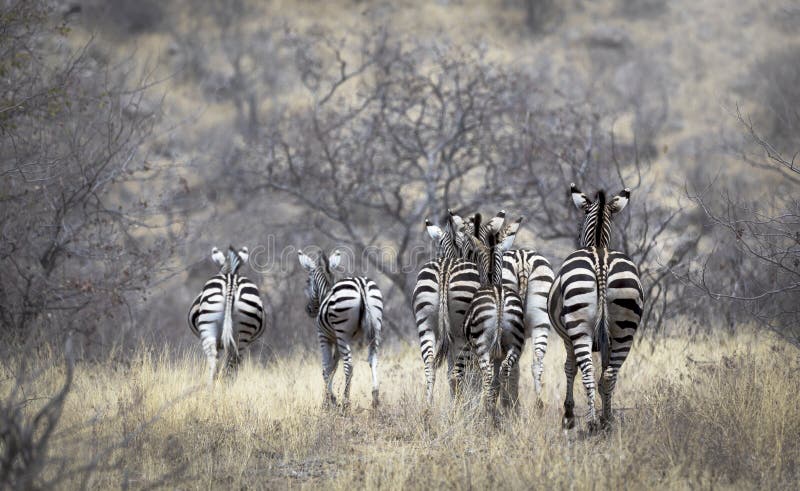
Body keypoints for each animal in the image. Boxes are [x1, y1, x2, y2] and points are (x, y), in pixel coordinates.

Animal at [188, 248, 264, 386]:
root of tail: (230, 282)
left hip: (211, 329)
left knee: (219, 363)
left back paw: (215, 388)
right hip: (242, 333)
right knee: (228, 363)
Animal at [296, 250, 384, 408]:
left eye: (307, 281)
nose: (309, 310)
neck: (325, 293)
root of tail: (361, 285)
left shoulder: (324, 337)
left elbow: (326, 368)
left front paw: (329, 400)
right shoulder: (337, 340)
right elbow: (333, 366)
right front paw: (330, 398)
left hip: (343, 333)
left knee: (349, 366)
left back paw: (346, 402)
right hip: (375, 329)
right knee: (373, 359)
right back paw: (375, 399)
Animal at [416, 214, 478, 404]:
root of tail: (445, 269)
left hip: (425, 323)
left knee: (430, 366)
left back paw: (428, 407)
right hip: (460, 331)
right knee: (457, 374)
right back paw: (457, 408)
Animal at [454, 213, 528, 418]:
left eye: (470, 252)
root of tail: (499, 297)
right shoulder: (499, 355)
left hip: (482, 348)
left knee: (487, 376)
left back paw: (488, 413)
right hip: (513, 346)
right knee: (504, 372)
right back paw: (502, 412)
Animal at [552, 186, 644, 432]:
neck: (598, 243)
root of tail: (601, 260)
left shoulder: (566, 337)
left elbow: (569, 368)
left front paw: (568, 415)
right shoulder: (606, 341)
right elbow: (604, 370)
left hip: (579, 326)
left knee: (588, 372)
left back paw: (592, 422)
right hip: (625, 327)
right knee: (609, 375)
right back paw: (606, 421)